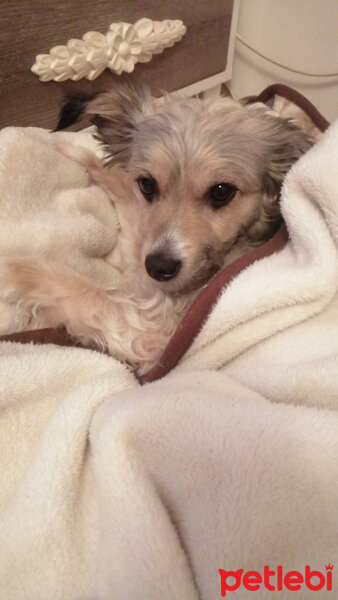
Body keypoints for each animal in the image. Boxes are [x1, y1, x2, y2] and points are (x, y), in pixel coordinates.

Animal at [0, 83, 312, 376]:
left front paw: (8, 268)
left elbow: (80, 288)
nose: (159, 267)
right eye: (147, 184)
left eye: (222, 192)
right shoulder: (141, 258)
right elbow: (122, 191)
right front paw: (73, 152)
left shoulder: (157, 333)